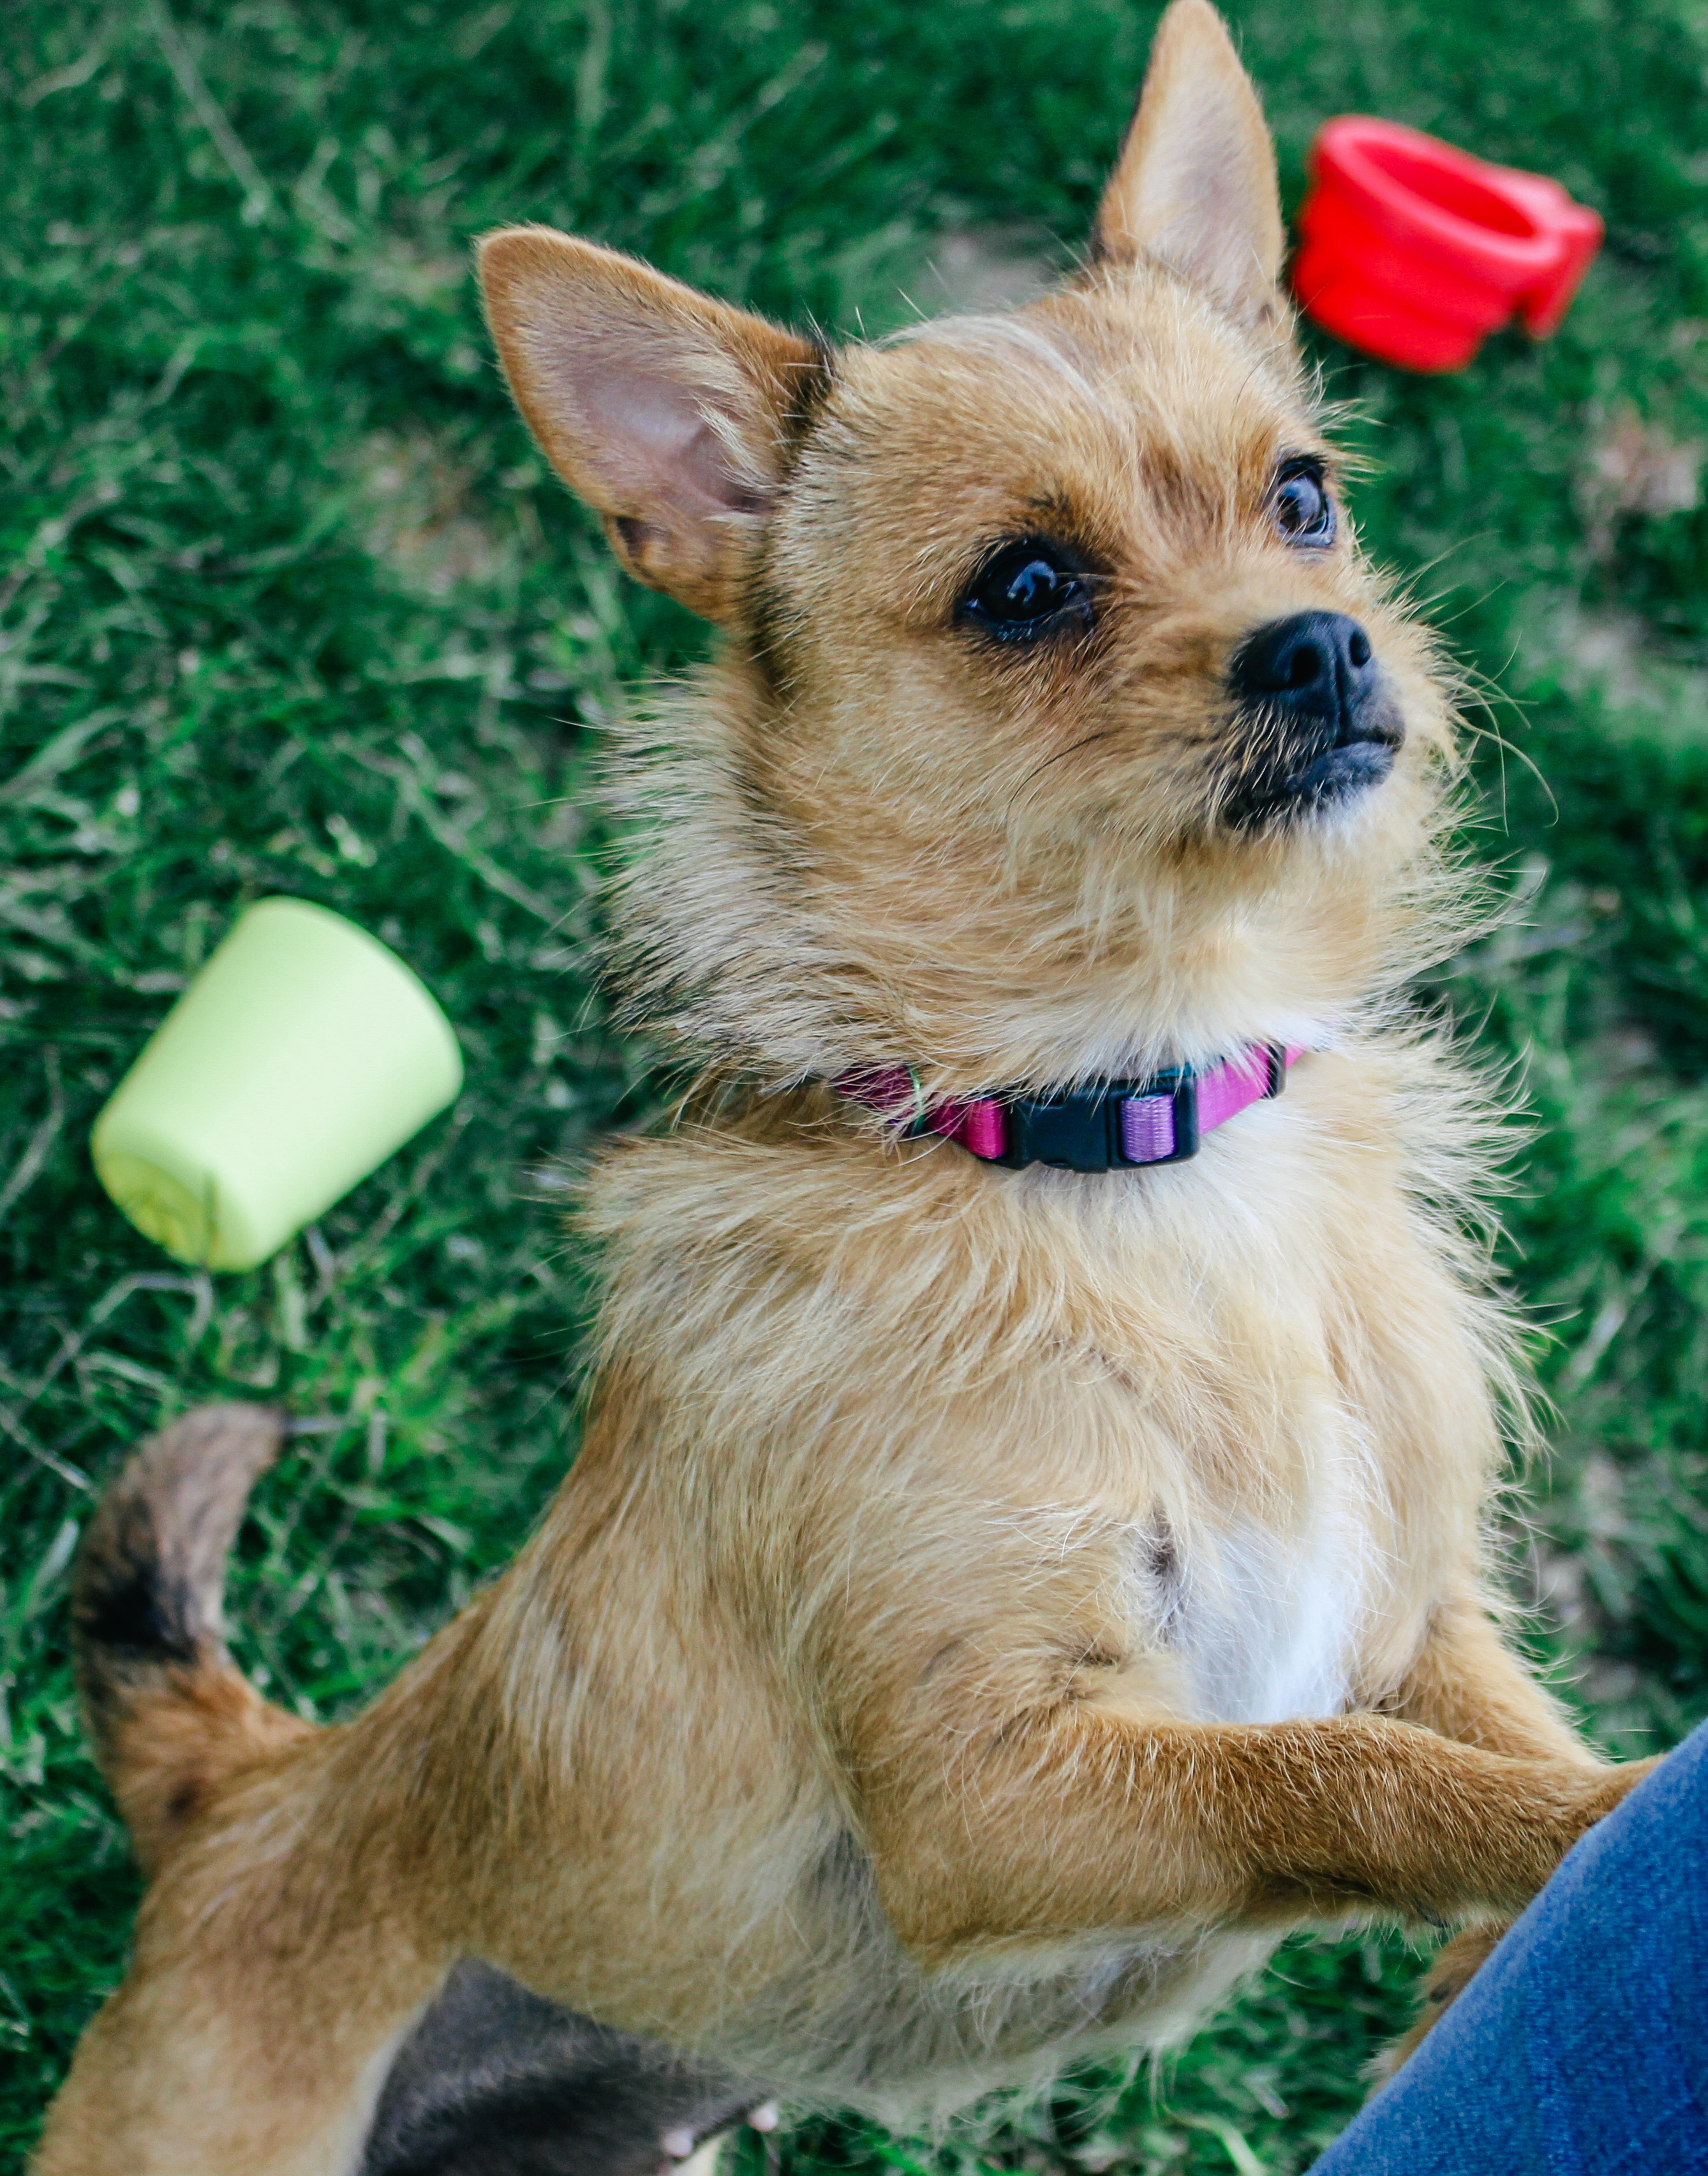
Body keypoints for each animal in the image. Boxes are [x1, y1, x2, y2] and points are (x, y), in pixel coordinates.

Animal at [29, 8, 1653, 2167]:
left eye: (1302, 496)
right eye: (1026, 587)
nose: (1321, 646)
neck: (1136, 1141)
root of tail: (246, 1786)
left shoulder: (1411, 1623)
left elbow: (1482, 1737)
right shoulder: (995, 1790)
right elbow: (1343, 1779)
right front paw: (1608, 1828)